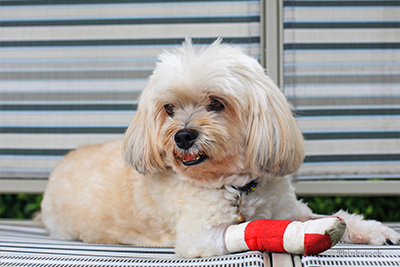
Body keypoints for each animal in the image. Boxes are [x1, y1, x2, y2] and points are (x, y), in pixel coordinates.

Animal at [41, 38, 400, 258]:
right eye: (169, 109)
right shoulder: (203, 235)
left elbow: (330, 215)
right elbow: (251, 229)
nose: (183, 136)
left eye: (216, 103)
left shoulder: (288, 208)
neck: (238, 186)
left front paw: (373, 230)